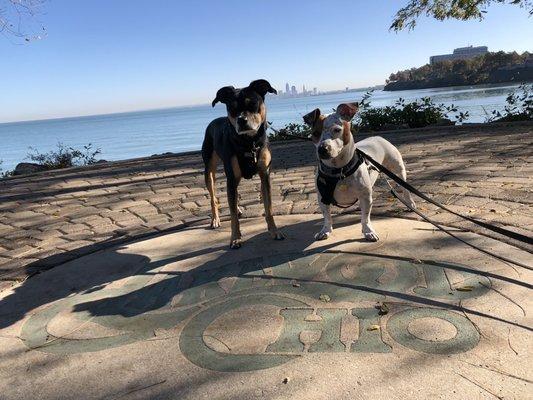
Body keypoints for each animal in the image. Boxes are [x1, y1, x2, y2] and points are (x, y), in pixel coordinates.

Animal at [201, 79, 284, 248]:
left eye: (252, 103)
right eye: (231, 108)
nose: (241, 119)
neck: (249, 143)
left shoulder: (265, 175)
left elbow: (269, 208)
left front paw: (274, 231)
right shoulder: (231, 178)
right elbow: (232, 215)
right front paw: (235, 238)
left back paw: (238, 208)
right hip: (209, 169)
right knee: (213, 197)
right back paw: (215, 219)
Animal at [304, 102, 416, 241]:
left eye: (337, 130)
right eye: (315, 133)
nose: (322, 149)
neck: (339, 170)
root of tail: (377, 137)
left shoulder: (366, 197)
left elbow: (365, 218)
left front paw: (368, 231)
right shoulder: (323, 198)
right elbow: (327, 216)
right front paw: (325, 230)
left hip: (398, 171)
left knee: (405, 189)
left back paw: (410, 202)